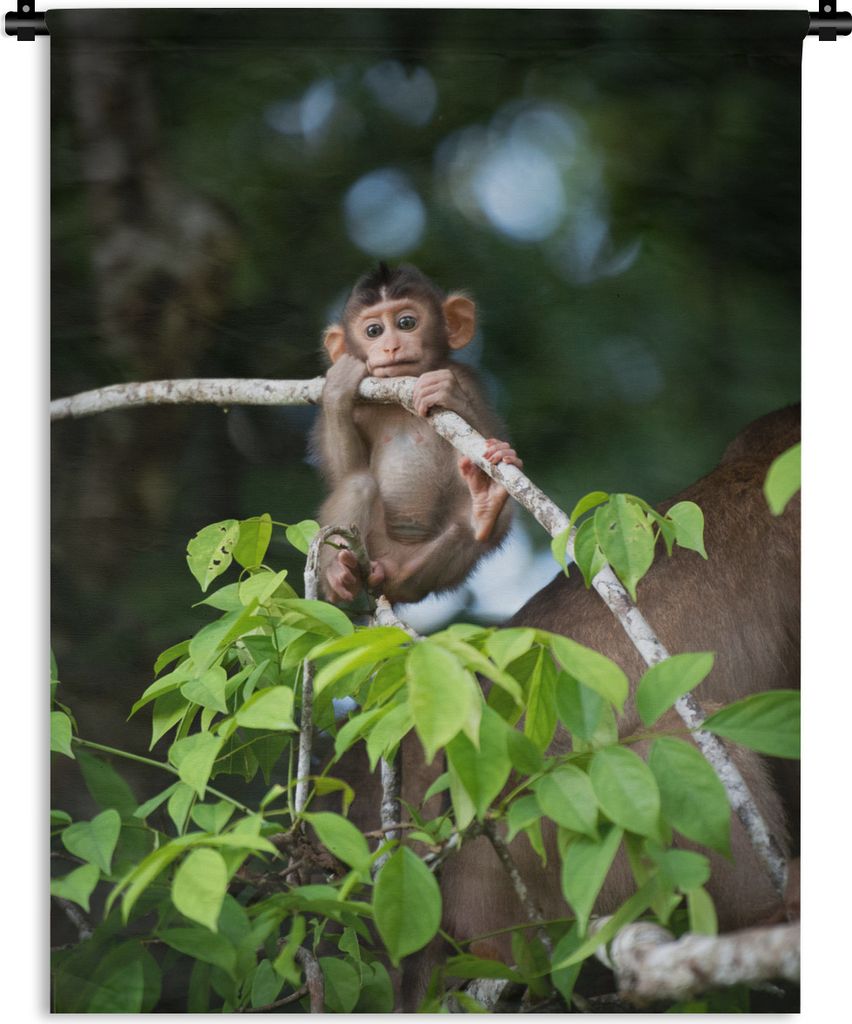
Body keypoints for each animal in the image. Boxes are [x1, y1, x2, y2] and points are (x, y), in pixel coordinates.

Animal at [312, 263, 521, 605]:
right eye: (373, 331)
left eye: (406, 323)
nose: (391, 346)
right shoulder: (360, 403)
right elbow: (344, 471)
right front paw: (338, 388)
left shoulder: (466, 379)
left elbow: (479, 434)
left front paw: (447, 393)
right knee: (358, 484)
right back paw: (339, 577)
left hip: (416, 570)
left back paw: (484, 509)